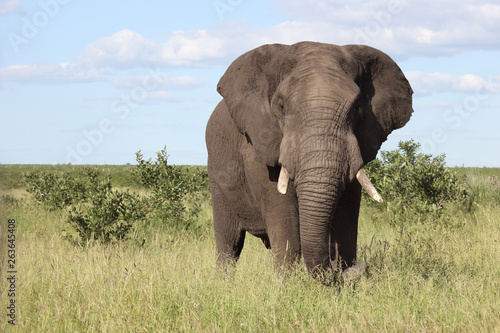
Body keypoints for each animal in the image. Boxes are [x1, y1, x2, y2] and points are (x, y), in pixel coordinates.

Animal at [205, 41, 412, 278]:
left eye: (357, 108)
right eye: (281, 107)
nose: (362, 267)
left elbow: (347, 214)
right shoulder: (259, 144)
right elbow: (284, 215)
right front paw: (288, 283)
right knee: (229, 242)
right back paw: (223, 281)